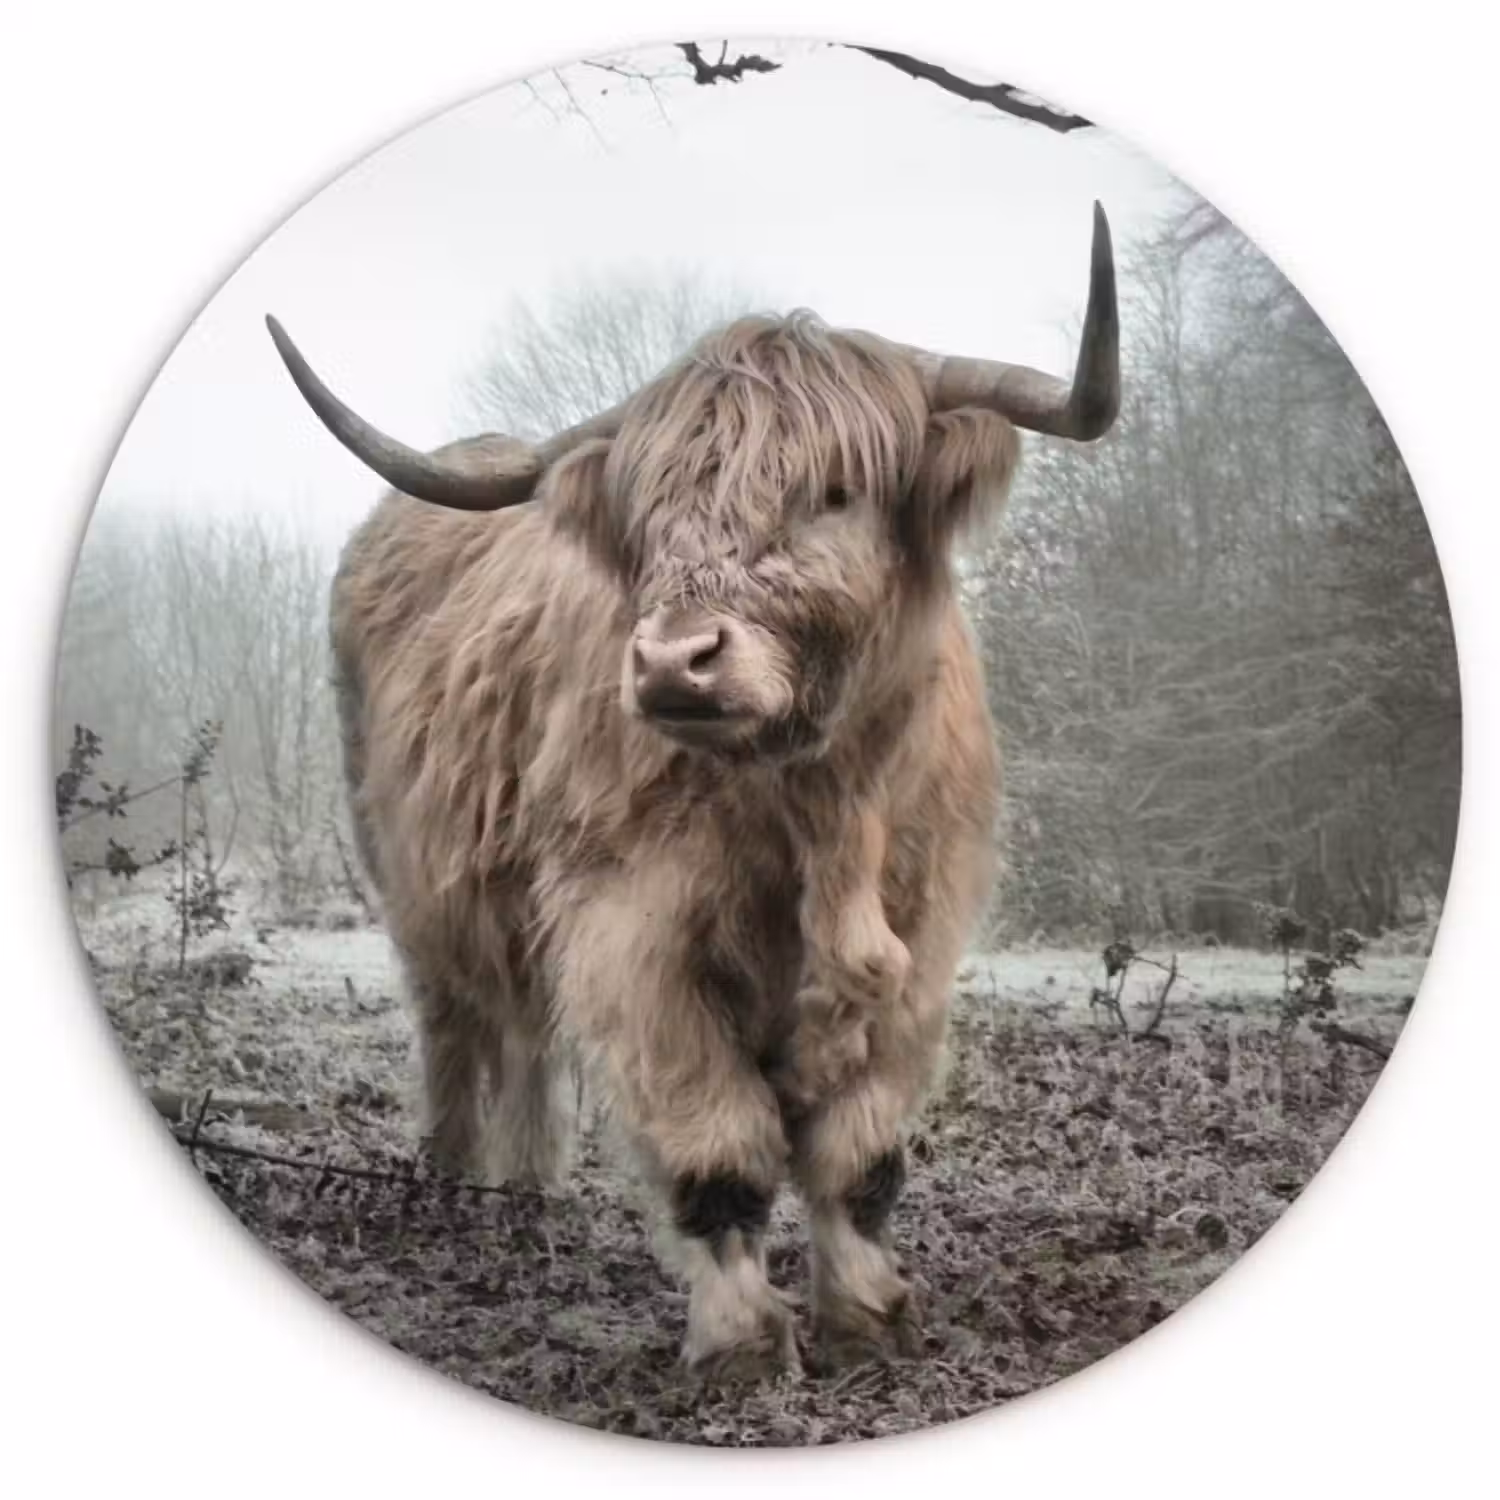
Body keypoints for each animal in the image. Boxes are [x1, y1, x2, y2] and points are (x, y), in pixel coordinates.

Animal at [265, 203, 1119, 1379]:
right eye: (651, 514)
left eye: (835, 493)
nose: (675, 662)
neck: (817, 809)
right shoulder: (634, 932)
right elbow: (719, 1149)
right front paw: (742, 1343)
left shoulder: (923, 935)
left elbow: (860, 1155)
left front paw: (868, 1317)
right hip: (412, 879)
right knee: (457, 1024)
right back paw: (454, 1185)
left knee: (524, 1033)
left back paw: (528, 1192)